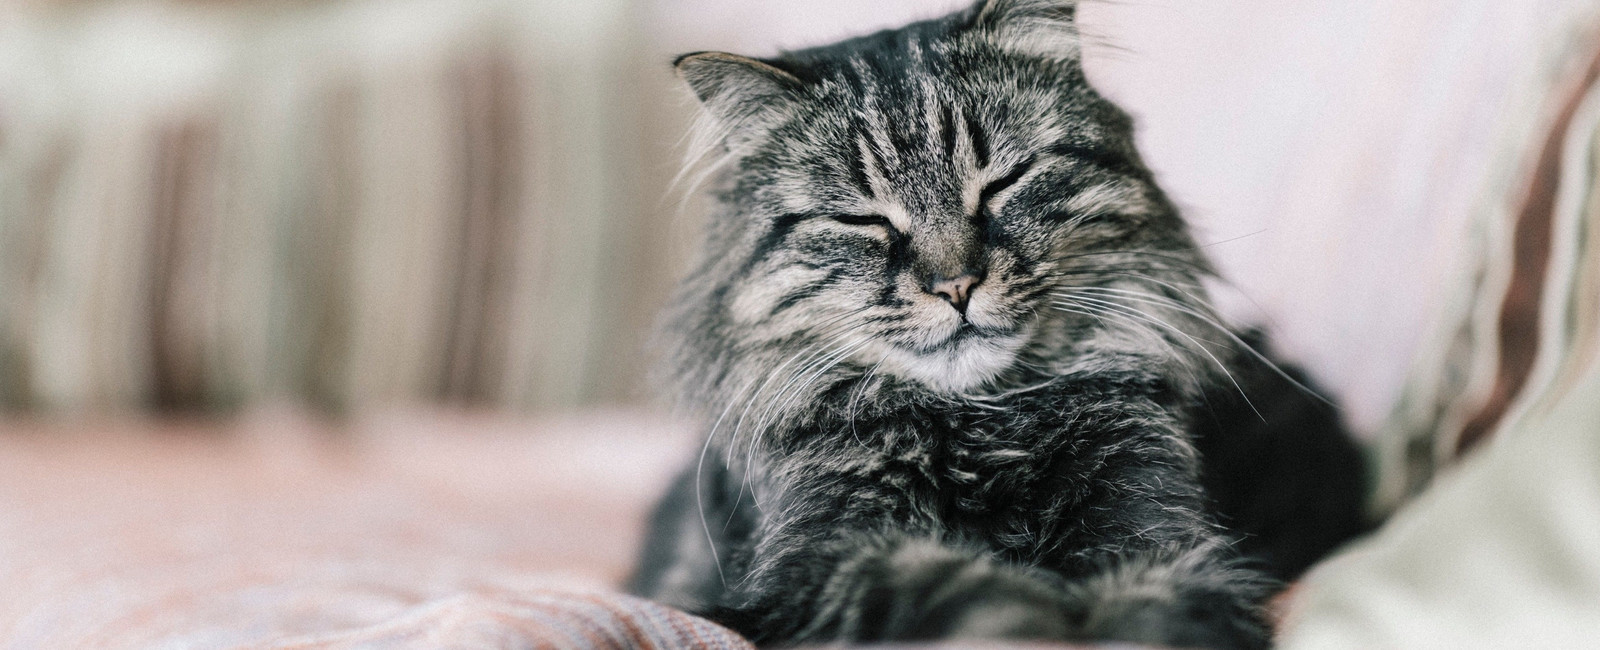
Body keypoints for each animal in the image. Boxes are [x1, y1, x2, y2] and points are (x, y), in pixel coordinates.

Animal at [630, 2, 1369, 646]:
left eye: (1002, 184)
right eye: (862, 219)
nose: (955, 285)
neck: (984, 429)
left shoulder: (1157, 537)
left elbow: (1157, 615)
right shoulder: (819, 566)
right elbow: (961, 591)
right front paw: (1023, 608)